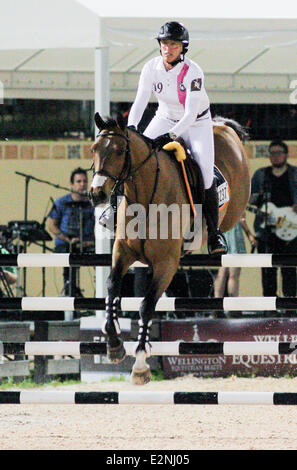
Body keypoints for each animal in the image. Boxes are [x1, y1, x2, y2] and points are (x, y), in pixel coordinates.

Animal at [89, 112, 249, 384]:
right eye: (94, 149)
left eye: (120, 151)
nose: (96, 194)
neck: (144, 197)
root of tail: (222, 126)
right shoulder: (122, 252)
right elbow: (111, 289)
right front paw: (113, 344)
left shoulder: (166, 264)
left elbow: (146, 305)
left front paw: (140, 364)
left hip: (236, 204)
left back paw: (217, 239)